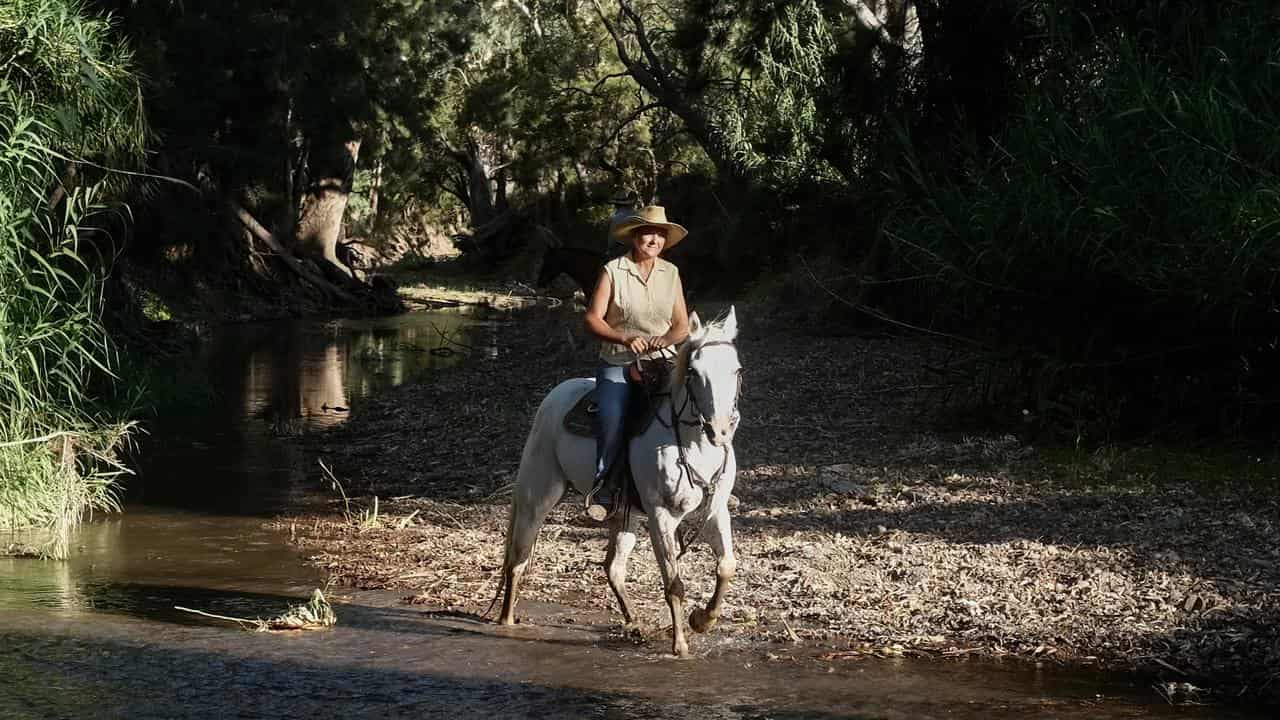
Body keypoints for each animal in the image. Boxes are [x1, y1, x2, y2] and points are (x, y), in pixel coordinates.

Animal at [496, 304, 747, 653]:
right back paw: (507, 620)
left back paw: (634, 622)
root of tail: (556, 395)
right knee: (518, 556)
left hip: (624, 515)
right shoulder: (660, 516)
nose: (720, 431)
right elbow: (673, 582)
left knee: (613, 568)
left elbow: (727, 566)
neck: (691, 443)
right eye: (694, 373)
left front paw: (702, 620)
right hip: (539, 495)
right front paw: (680, 644)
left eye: (737, 370)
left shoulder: (714, 511)